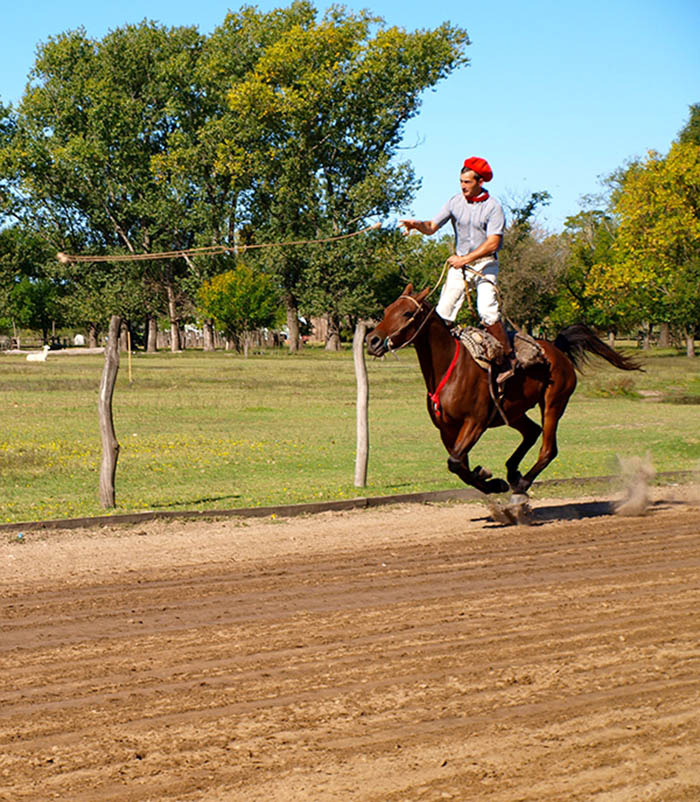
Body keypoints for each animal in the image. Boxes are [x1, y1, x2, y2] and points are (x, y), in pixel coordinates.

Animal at [366, 282, 640, 494]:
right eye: (387, 310)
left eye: (406, 313)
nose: (372, 340)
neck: (449, 369)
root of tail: (557, 349)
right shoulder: (447, 429)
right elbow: (459, 465)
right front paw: (489, 480)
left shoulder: (475, 423)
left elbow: (455, 462)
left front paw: (490, 480)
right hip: (514, 412)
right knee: (532, 431)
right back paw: (512, 472)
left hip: (553, 404)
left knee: (548, 448)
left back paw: (522, 482)